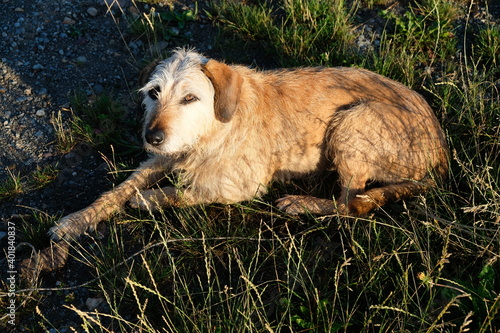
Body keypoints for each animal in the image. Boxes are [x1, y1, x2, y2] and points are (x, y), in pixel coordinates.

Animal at [48, 48, 450, 240]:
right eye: (153, 93)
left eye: (190, 98)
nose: (152, 137)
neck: (213, 129)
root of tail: (440, 144)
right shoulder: (166, 155)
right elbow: (118, 189)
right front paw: (74, 222)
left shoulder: (243, 185)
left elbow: (189, 192)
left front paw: (149, 199)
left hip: (353, 122)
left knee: (352, 204)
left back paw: (303, 203)